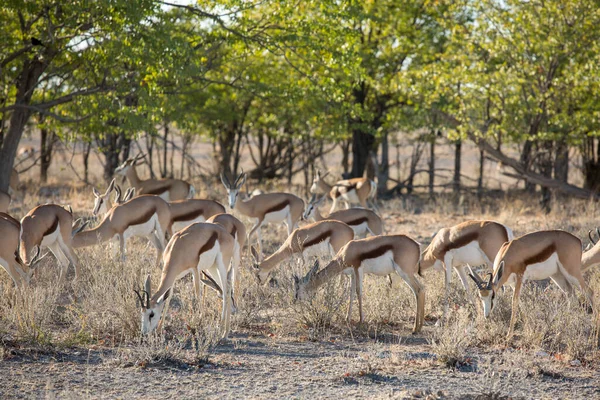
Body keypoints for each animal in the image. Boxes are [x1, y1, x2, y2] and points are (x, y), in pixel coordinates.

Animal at [292, 234, 424, 334]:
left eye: (298, 288)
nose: (294, 301)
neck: (346, 252)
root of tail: (417, 245)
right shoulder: (352, 274)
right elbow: (351, 294)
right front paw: (347, 319)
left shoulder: (358, 269)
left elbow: (358, 292)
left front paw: (361, 322)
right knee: (422, 288)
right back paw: (420, 327)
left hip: (404, 272)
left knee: (418, 290)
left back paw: (415, 329)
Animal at [468, 230, 596, 340]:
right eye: (481, 297)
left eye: (493, 295)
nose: (486, 315)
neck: (509, 252)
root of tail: (577, 240)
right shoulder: (513, 284)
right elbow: (521, 304)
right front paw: (528, 330)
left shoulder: (520, 278)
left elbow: (514, 302)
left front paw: (509, 335)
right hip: (557, 275)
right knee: (571, 295)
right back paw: (562, 330)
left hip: (571, 273)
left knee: (589, 291)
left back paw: (594, 325)